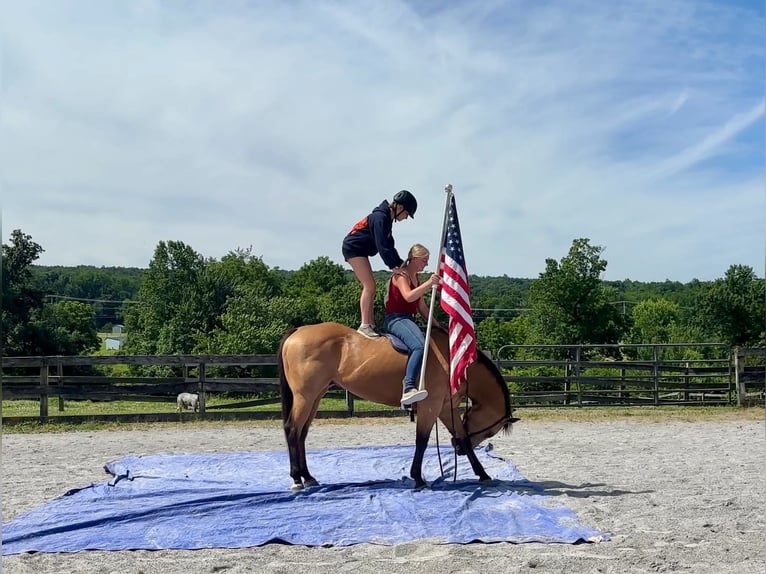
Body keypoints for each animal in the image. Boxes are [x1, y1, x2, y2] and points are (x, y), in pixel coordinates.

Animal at [278, 321, 518, 490]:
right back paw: (296, 479)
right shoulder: (430, 407)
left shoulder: (444, 408)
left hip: (315, 397)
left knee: (301, 434)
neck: (451, 360)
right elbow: (421, 441)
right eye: (490, 432)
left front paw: (483, 474)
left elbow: (464, 439)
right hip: (305, 397)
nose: (456, 451)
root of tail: (298, 331)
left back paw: (308, 477)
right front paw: (418, 478)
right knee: (292, 430)